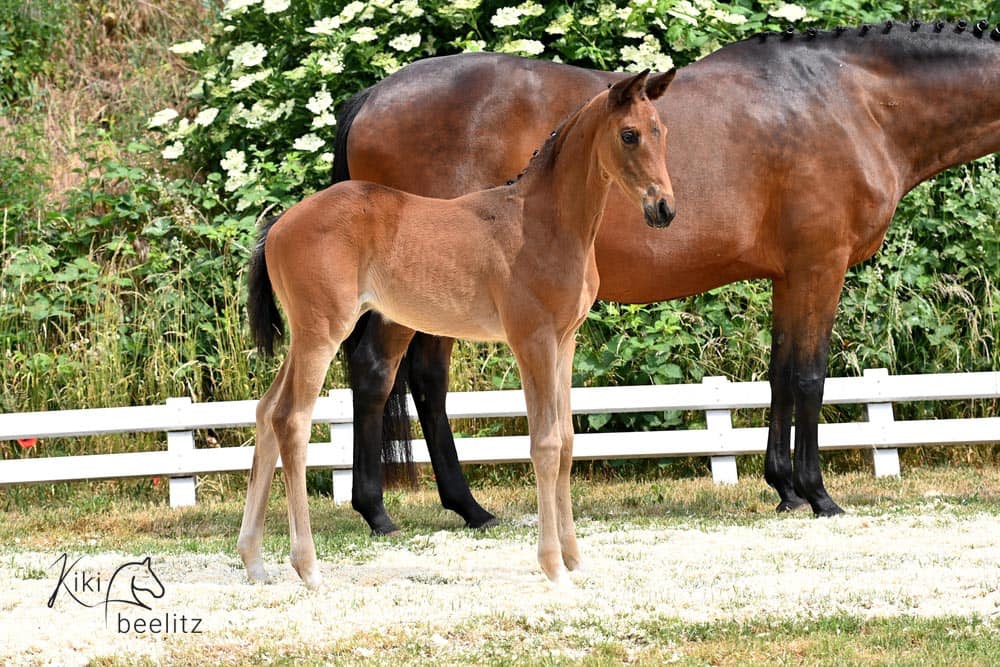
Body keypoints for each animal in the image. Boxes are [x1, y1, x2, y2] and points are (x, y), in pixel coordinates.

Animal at [240, 70, 680, 588]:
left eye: (661, 132)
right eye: (629, 135)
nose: (664, 209)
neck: (544, 222)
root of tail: (278, 225)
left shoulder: (564, 342)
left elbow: (569, 442)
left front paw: (574, 558)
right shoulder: (532, 340)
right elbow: (545, 443)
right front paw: (553, 566)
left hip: (304, 336)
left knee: (267, 411)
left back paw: (254, 560)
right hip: (321, 334)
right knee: (292, 421)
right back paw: (307, 568)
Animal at [334, 20, 1000, 536]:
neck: (851, 99)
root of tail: (371, 96)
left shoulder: (790, 276)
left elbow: (782, 375)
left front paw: (784, 488)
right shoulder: (820, 266)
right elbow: (811, 377)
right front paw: (818, 495)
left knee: (427, 380)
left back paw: (470, 509)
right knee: (377, 370)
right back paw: (378, 512)